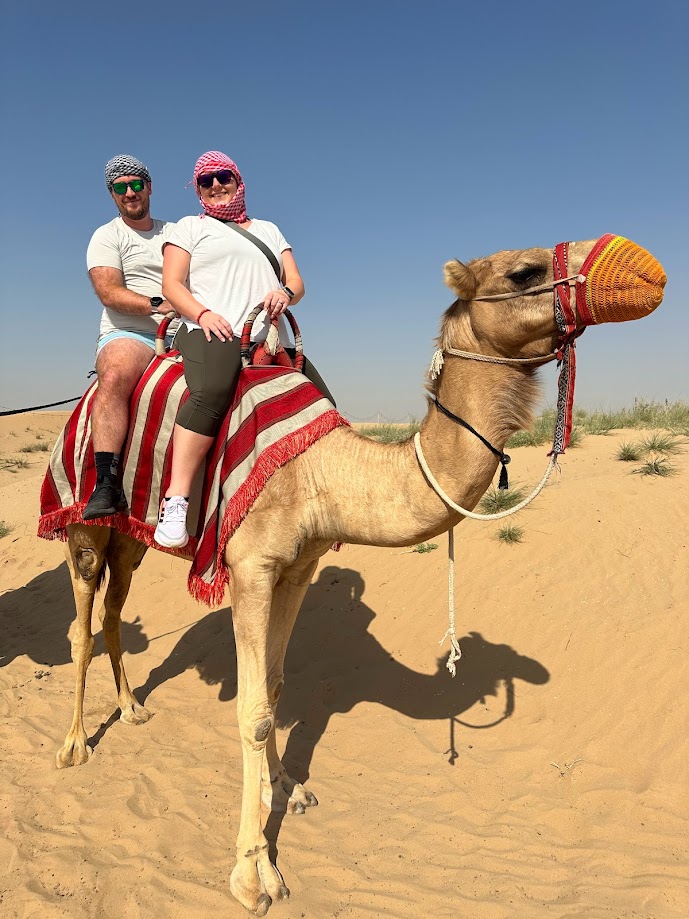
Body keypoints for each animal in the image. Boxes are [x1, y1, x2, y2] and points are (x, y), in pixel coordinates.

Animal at [53, 234, 665, 915]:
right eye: (524, 271)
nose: (644, 268)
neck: (322, 469)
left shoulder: (298, 567)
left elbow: (275, 685)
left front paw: (286, 788)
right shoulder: (250, 568)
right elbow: (252, 710)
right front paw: (254, 874)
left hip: (129, 540)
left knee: (113, 612)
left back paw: (132, 709)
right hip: (84, 520)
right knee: (81, 623)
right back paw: (75, 745)